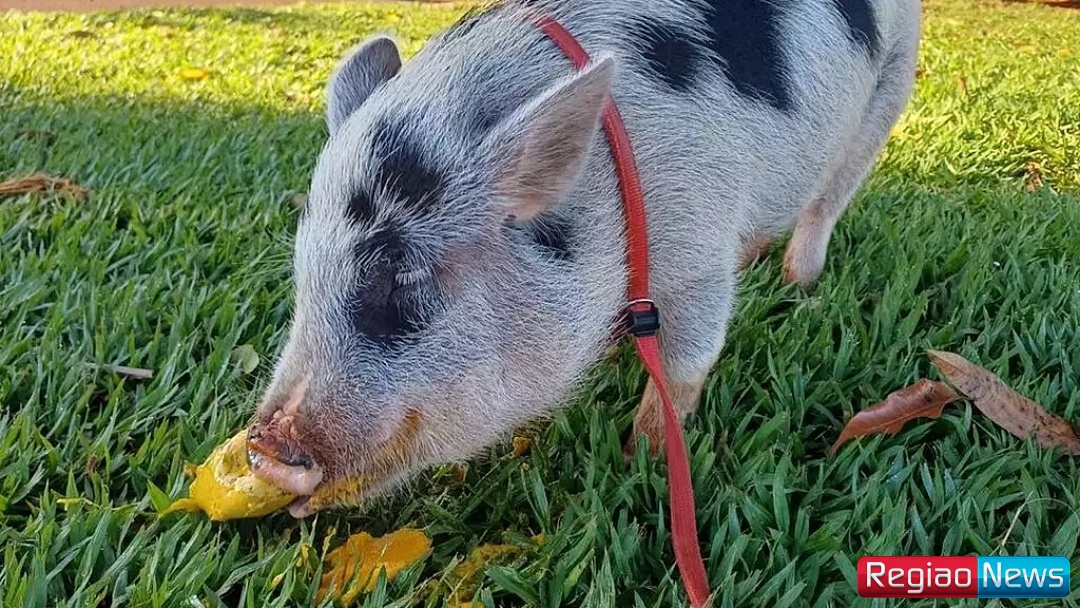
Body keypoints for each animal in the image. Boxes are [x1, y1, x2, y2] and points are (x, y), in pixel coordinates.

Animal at [245, 0, 921, 517]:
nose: (263, 449)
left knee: (830, 197)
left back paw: (799, 285)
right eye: (302, 272)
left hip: (892, 84)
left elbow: (686, 364)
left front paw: (638, 461)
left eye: (402, 280)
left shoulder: (701, 251)